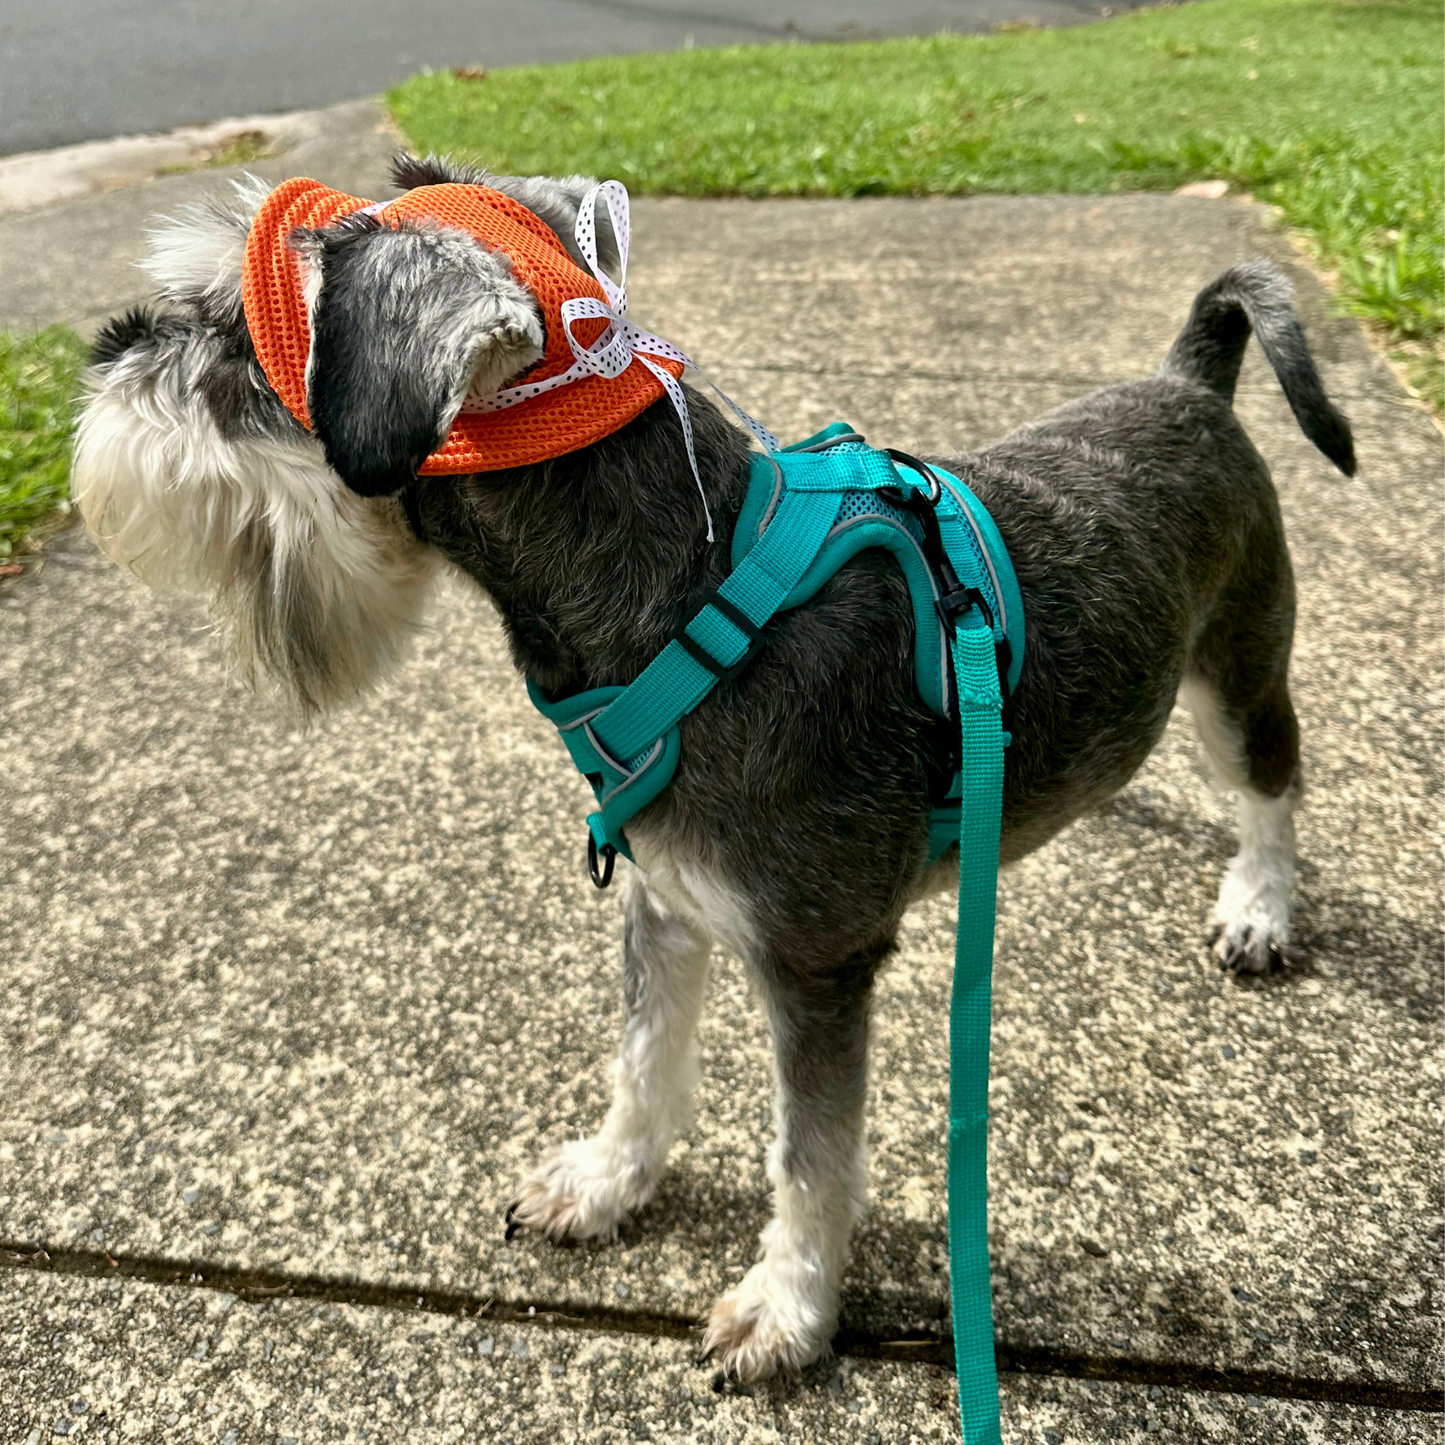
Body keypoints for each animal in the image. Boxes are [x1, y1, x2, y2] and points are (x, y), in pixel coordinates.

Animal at [67, 152, 1352, 1381]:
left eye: (231, 334)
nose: (107, 341)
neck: (690, 603)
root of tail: (1189, 383)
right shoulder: (664, 895)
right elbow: (644, 1059)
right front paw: (606, 1180)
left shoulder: (815, 963)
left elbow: (808, 1154)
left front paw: (788, 1307)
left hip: (1238, 669)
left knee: (1271, 785)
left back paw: (1258, 905)